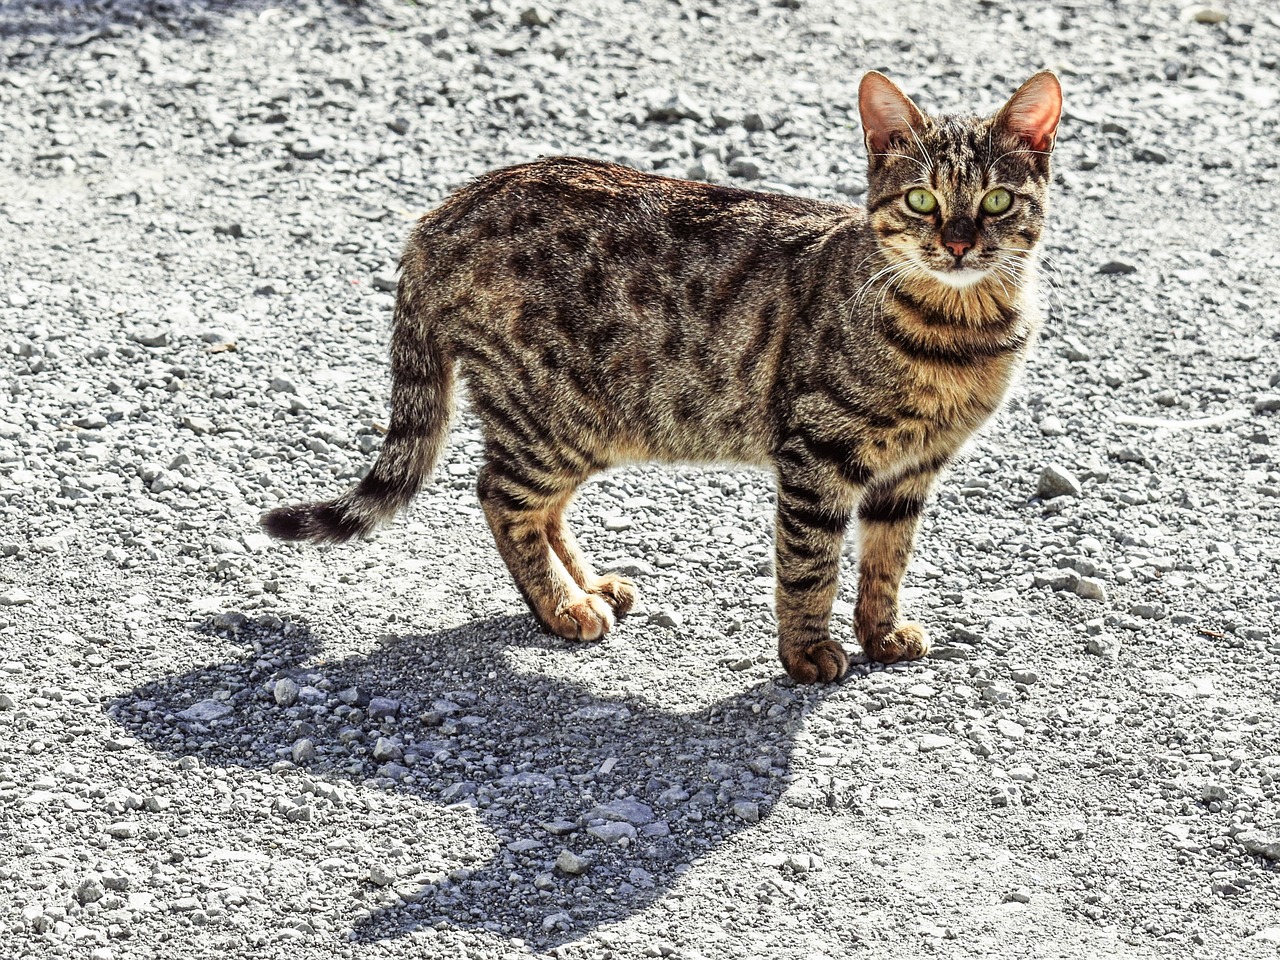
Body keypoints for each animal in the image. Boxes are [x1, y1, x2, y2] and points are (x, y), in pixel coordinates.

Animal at [259, 69, 1059, 686]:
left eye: (995, 201)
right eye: (922, 199)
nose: (958, 244)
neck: (959, 332)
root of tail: (443, 211)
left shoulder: (913, 470)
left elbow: (886, 561)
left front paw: (881, 632)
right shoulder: (817, 454)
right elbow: (810, 566)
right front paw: (807, 652)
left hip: (584, 422)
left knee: (539, 507)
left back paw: (588, 585)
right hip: (552, 414)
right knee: (499, 496)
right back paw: (564, 606)